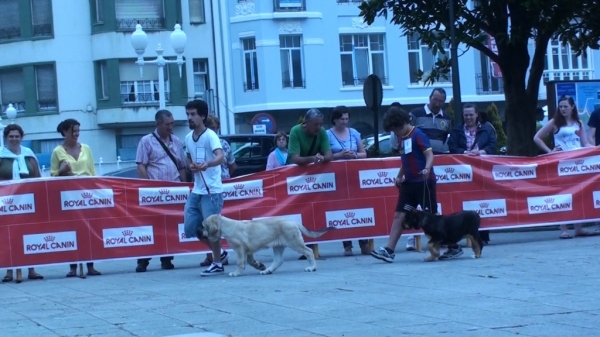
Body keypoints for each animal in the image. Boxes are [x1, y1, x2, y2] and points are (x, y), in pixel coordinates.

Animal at [200, 215, 332, 276]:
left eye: (203, 226)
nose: (197, 231)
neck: (227, 225)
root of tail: (293, 222)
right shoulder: (248, 250)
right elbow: (250, 261)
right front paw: (259, 266)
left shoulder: (240, 249)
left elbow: (240, 262)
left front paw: (236, 273)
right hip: (278, 246)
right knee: (278, 260)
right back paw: (267, 270)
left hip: (294, 242)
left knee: (309, 251)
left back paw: (312, 267)